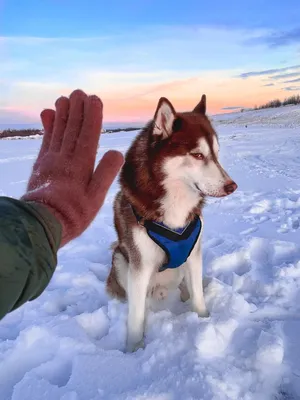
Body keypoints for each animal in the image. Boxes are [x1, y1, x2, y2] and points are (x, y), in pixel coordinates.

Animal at [105, 95, 237, 352]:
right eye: (197, 155)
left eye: (216, 153)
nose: (232, 186)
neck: (175, 201)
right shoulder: (140, 265)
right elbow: (135, 316)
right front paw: (133, 350)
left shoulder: (194, 253)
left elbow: (198, 296)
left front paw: (204, 321)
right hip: (120, 259)